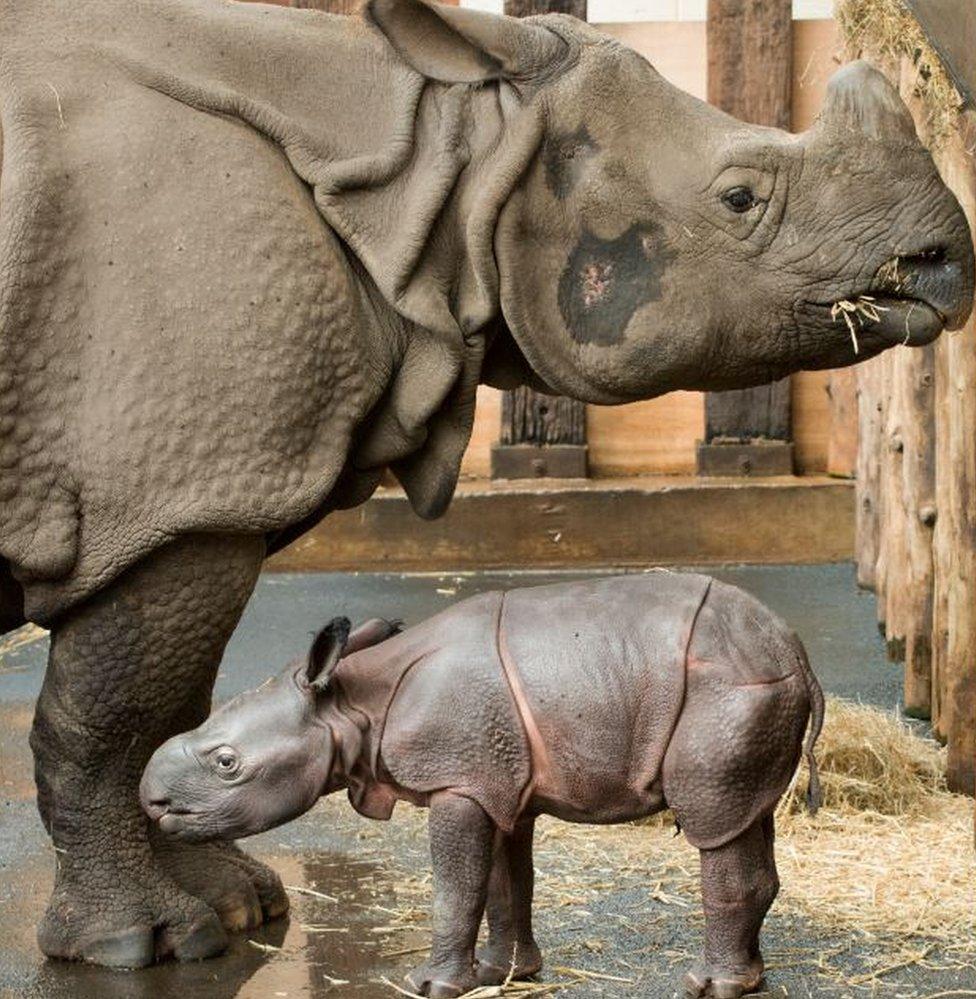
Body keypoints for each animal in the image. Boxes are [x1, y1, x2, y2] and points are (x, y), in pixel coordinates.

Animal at [139, 576, 824, 996]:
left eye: (227, 763)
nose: (153, 800)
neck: (353, 705)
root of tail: (797, 652)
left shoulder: (459, 780)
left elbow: (456, 886)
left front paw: (434, 986)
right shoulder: (492, 779)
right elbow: (504, 883)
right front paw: (506, 974)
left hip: (730, 689)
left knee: (714, 827)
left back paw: (710, 986)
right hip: (751, 692)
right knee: (745, 817)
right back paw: (749, 980)